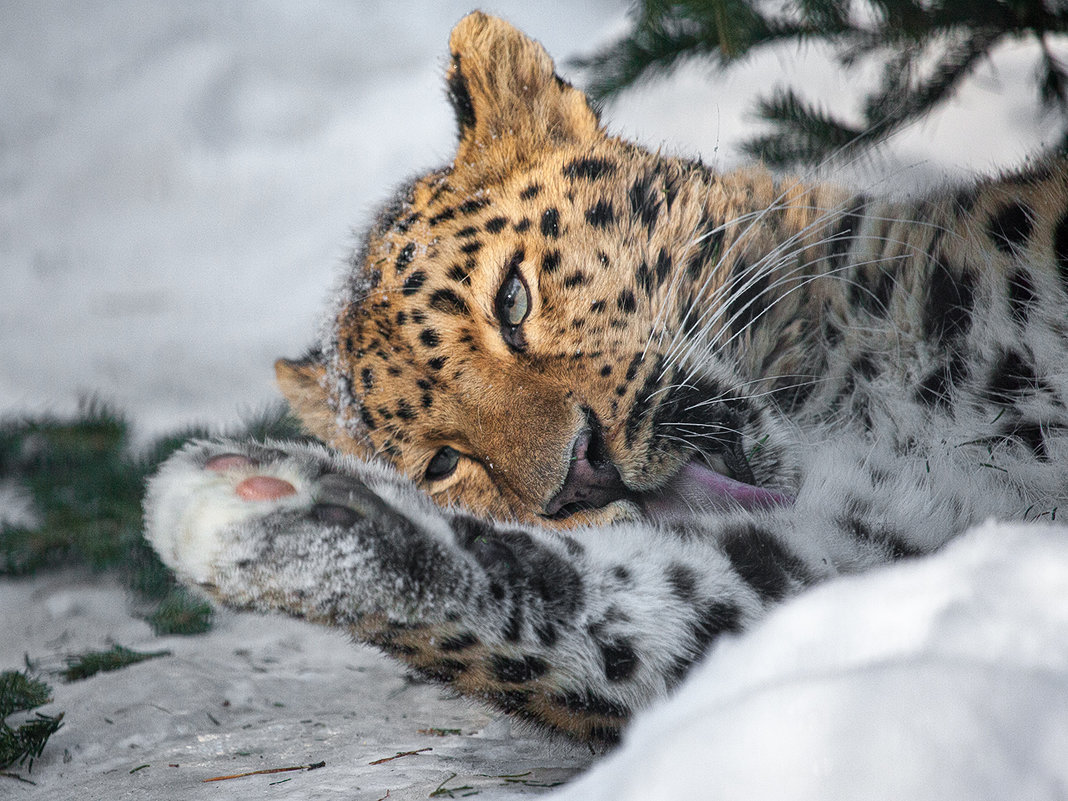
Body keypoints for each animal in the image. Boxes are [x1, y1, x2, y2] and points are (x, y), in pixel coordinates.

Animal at [146, 10, 1068, 747]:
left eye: (513, 300)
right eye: (444, 463)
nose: (575, 477)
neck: (842, 398)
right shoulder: (885, 553)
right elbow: (590, 621)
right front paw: (271, 511)